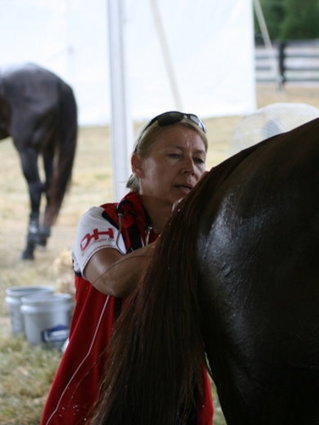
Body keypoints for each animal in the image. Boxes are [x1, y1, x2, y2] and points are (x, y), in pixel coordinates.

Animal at [0, 63, 77, 258]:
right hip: (47, 147)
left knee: (35, 188)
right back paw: (41, 238)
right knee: (51, 186)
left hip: (28, 149)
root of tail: (58, 83)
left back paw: (29, 248)